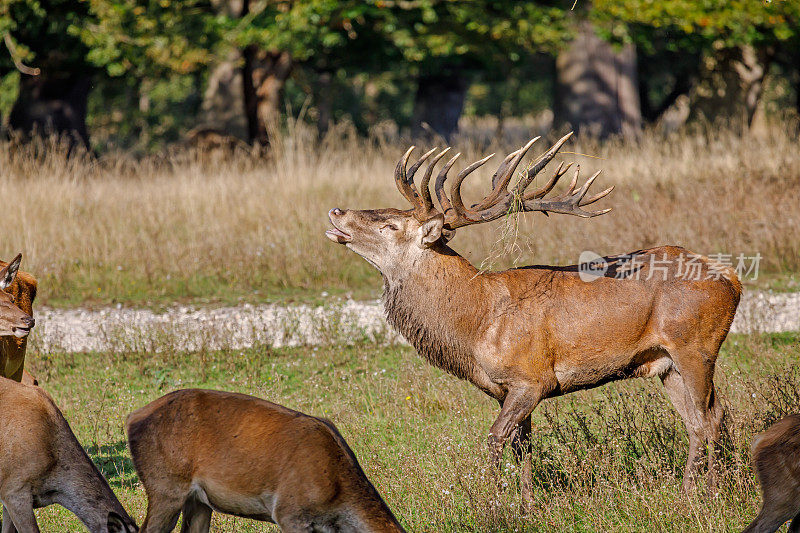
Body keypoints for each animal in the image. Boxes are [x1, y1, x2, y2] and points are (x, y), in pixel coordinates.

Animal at [328, 133, 740, 494]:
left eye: (390, 224)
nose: (336, 210)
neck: (478, 323)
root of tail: (733, 279)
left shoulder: (533, 377)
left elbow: (496, 438)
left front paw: (492, 502)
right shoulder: (505, 388)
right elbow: (522, 445)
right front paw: (527, 504)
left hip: (696, 347)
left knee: (712, 417)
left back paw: (713, 493)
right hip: (666, 362)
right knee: (695, 422)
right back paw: (688, 493)